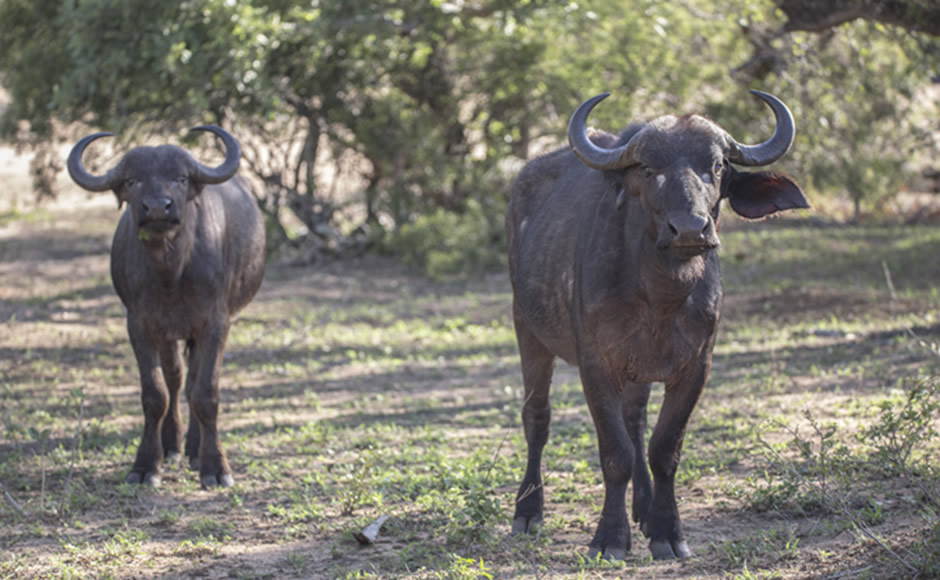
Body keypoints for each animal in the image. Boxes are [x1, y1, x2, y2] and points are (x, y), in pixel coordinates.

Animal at [67, 127, 264, 490]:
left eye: (181, 178)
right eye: (132, 180)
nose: (158, 207)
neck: (171, 272)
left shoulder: (215, 324)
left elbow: (205, 393)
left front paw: (215, 466)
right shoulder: (140, 325)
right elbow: (154, 394)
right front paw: (147, 465)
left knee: (192, 381)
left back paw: (195, 450)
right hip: (169, 334)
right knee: (175, 379)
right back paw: (173, 446)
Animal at [506, 92, 808, 560]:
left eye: (716, 165)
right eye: (649, 169)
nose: (689, 229)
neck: (661, 298)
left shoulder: (695, 366)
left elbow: (663, 449)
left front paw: (667, 531)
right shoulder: (596, 365)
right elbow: (616, 454)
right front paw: (610, 539)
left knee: (635, 421)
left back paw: (644, 510)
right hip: (527, 327)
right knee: (537, 417)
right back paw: (528, 511)